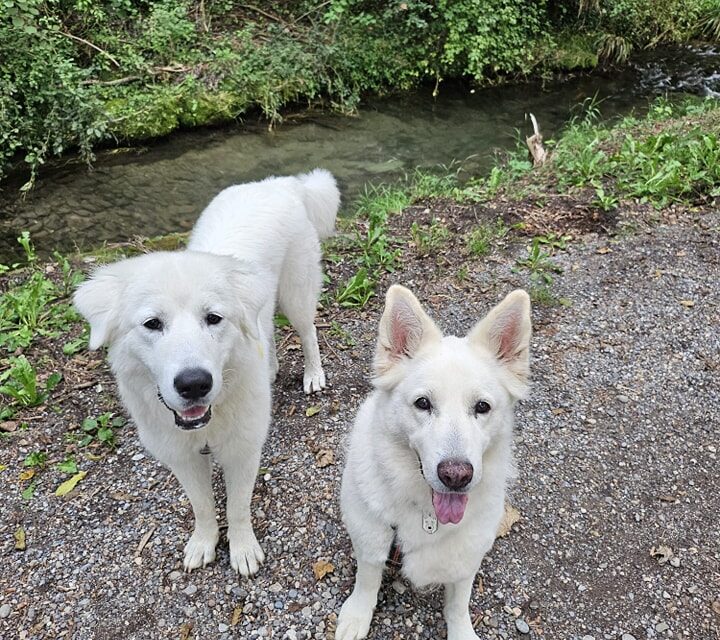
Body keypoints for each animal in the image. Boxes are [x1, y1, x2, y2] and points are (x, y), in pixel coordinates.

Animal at [74, 170, 338, 576]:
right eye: (152, 324)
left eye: (213, 318)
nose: (194, 383)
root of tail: (279, 182)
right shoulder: (182, 457)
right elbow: (202, 506)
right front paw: (204, 542)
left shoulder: (242, 451)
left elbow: (238, 506)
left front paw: (243, 550)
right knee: (267, 334)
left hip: (296, 294)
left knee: (308, 332)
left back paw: (313, 375)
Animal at [336, 284, 528, 640]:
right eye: (423, 403)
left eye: (482, 407)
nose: (456, 476)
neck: (427, 513)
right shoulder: (372, 538)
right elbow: (367, 581)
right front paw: (357, 616)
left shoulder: (465, 559)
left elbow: (458, 604)